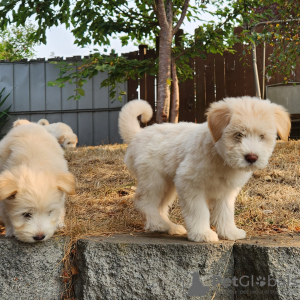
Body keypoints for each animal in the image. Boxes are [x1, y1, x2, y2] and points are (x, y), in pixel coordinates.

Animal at [119, 97, 290, 243]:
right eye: (238, 135)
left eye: (262, 136)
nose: (252, 157)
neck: (220, 157)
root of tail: (137, 135)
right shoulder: (189, 184)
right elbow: (199, 211)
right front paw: (202, 234)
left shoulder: (226, 191)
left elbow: (225, 212)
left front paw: (229, 232)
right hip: (155, 180)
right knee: (144, 202)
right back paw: (158, 224)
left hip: (167, 185)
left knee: (159, 207)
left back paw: (169, 227)